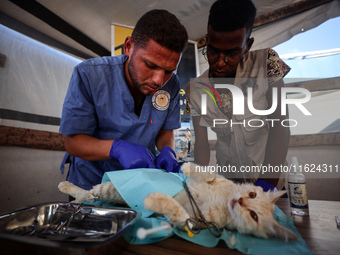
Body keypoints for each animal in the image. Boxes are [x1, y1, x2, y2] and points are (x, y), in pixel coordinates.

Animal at [58, 163, 298, 241]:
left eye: (253, 216)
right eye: (252, 195)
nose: (239, 200)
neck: (224, 200)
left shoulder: (193, 222)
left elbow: (177, 213)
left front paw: (154, 199)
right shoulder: (216, 179)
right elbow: (209, 173)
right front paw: (185, 166)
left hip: (108, 193)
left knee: (89, 195)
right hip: (108, 187)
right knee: (88, 192)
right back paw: (67, 187)